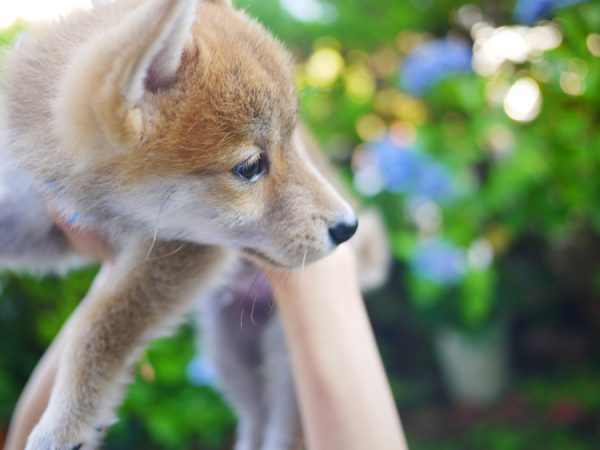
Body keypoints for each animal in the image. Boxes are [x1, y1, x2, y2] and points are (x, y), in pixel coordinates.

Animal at [0, 0, 360, 446]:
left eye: (293, 143)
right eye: (251, 166)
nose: (347, 227)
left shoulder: (185, 250)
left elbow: (101, 322)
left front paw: (67, 422)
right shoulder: (45, 222)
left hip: (286, 368)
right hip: (229, 354)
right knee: (254, 414)